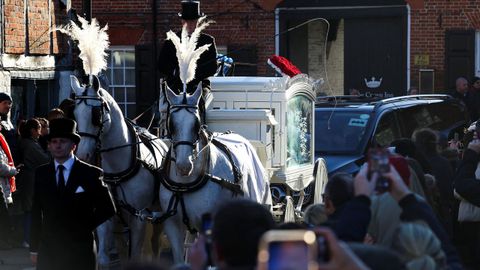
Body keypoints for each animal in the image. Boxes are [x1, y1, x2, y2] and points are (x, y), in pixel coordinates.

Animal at [69, 75, 169, 266]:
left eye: (96, 115)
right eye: (75, 114)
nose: (83, 155)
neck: (117, 173)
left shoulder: (139, 218)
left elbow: (136, 255)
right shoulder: (106, 214)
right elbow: (103, 258)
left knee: (156, 245)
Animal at [159, 84, 272, 262]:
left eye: (197, 124)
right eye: (172, 124)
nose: (184, 165)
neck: (185, 184)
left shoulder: (208, 224)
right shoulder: (172, 224)